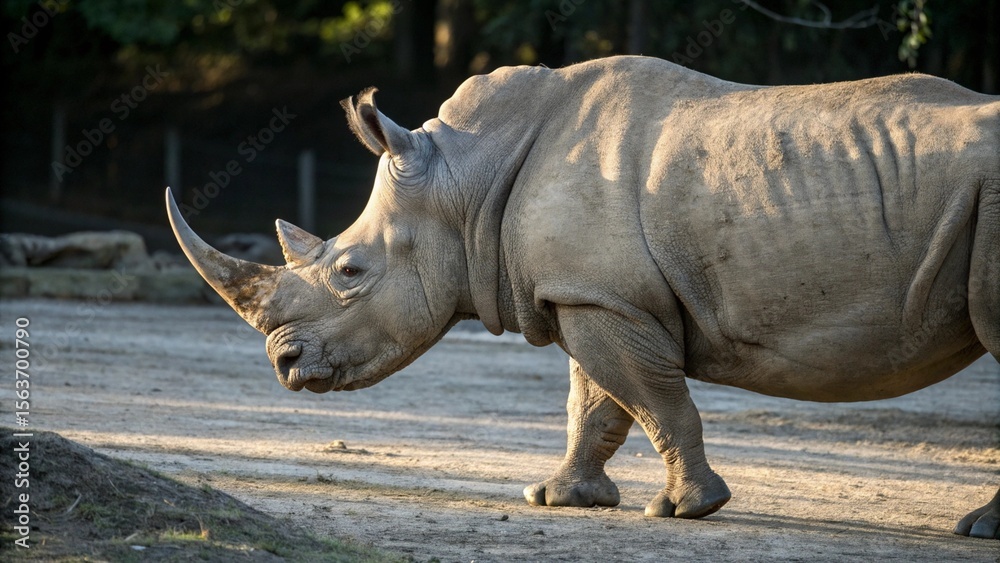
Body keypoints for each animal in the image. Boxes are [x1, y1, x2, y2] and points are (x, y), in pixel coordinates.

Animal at [166, 56, 1000, 539]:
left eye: (349, 271)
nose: (284, 364)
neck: (466, 177)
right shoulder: (586, 291)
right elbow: (595, 401)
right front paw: (556, 497)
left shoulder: (606, 299)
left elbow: (653, 397)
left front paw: (686, 510)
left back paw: (975, 529)